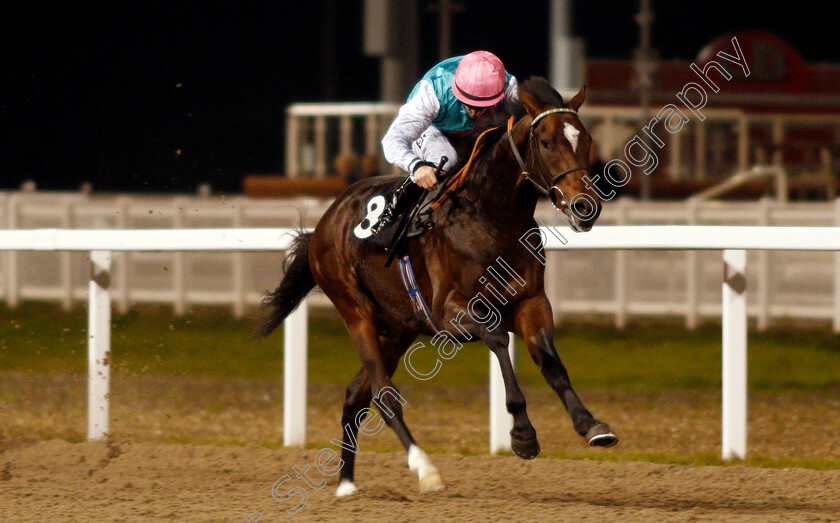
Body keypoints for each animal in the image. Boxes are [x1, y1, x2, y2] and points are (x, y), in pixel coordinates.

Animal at [260, 78, 620, 500]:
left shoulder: (531, 302)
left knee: (355, 396)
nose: (585, 207)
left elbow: (552, 363)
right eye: (546, 142)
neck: (491, 219)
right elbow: (498, 339)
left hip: (399, 329)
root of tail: (325, 221)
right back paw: (425, 469)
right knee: (383, 395)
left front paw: (591, 424)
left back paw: (347, 484)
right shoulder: (450, 313)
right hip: (355, 311)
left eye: (587, 140)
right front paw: (522, 433)